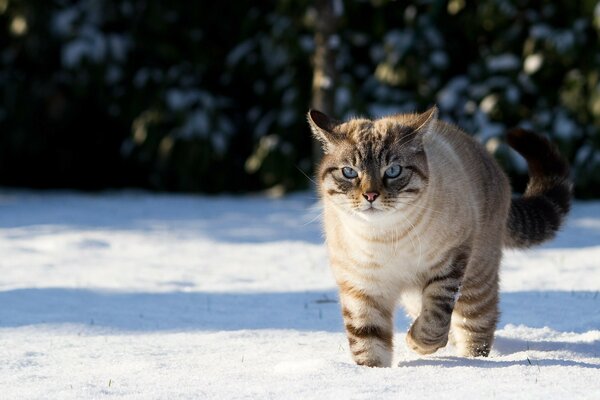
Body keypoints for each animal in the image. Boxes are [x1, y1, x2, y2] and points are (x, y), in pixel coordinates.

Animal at [310, 105, 572, 366]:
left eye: (393, 171)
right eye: (349, 172)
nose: (371, 195)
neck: (384, 237)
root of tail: (490, 160)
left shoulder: (449, 263)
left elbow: (434, 320)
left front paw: (416, 343)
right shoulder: (362, 287)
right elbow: (368, 342)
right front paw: (372, 372)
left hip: (475, 282)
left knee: (478, 326)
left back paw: (472, 363)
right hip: (416, 295)